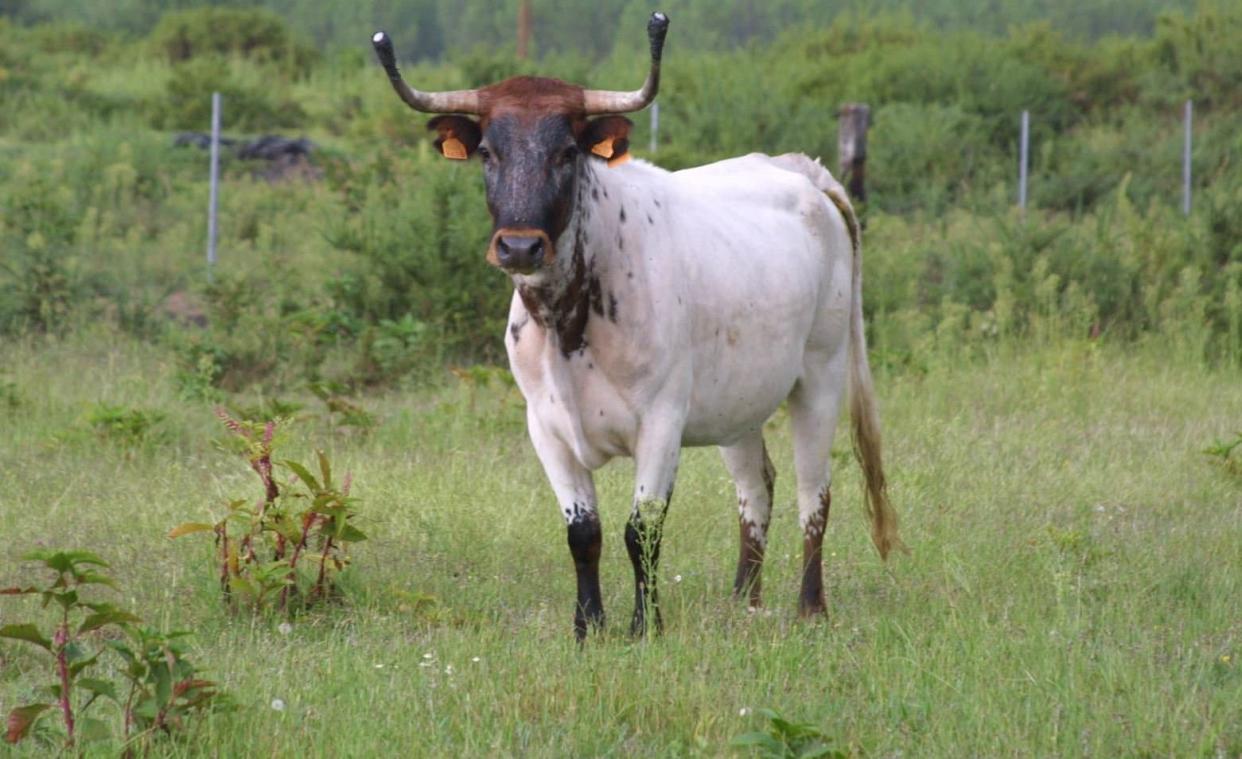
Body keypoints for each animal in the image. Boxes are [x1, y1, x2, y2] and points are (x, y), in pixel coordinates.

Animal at [367, 13, 904, 640]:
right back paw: (742, 603)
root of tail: (801, 168)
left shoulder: (662, 421)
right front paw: (588, 627)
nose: (519, 246)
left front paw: (645, 627)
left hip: (821, 372)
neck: (569, 323)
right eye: (487, 154)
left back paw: (810, 606)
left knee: (811, 489)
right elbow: (584, 533)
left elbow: (641, 529)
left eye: (567, 152)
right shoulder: (545, 428)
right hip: (738, 398)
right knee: (756, 486)